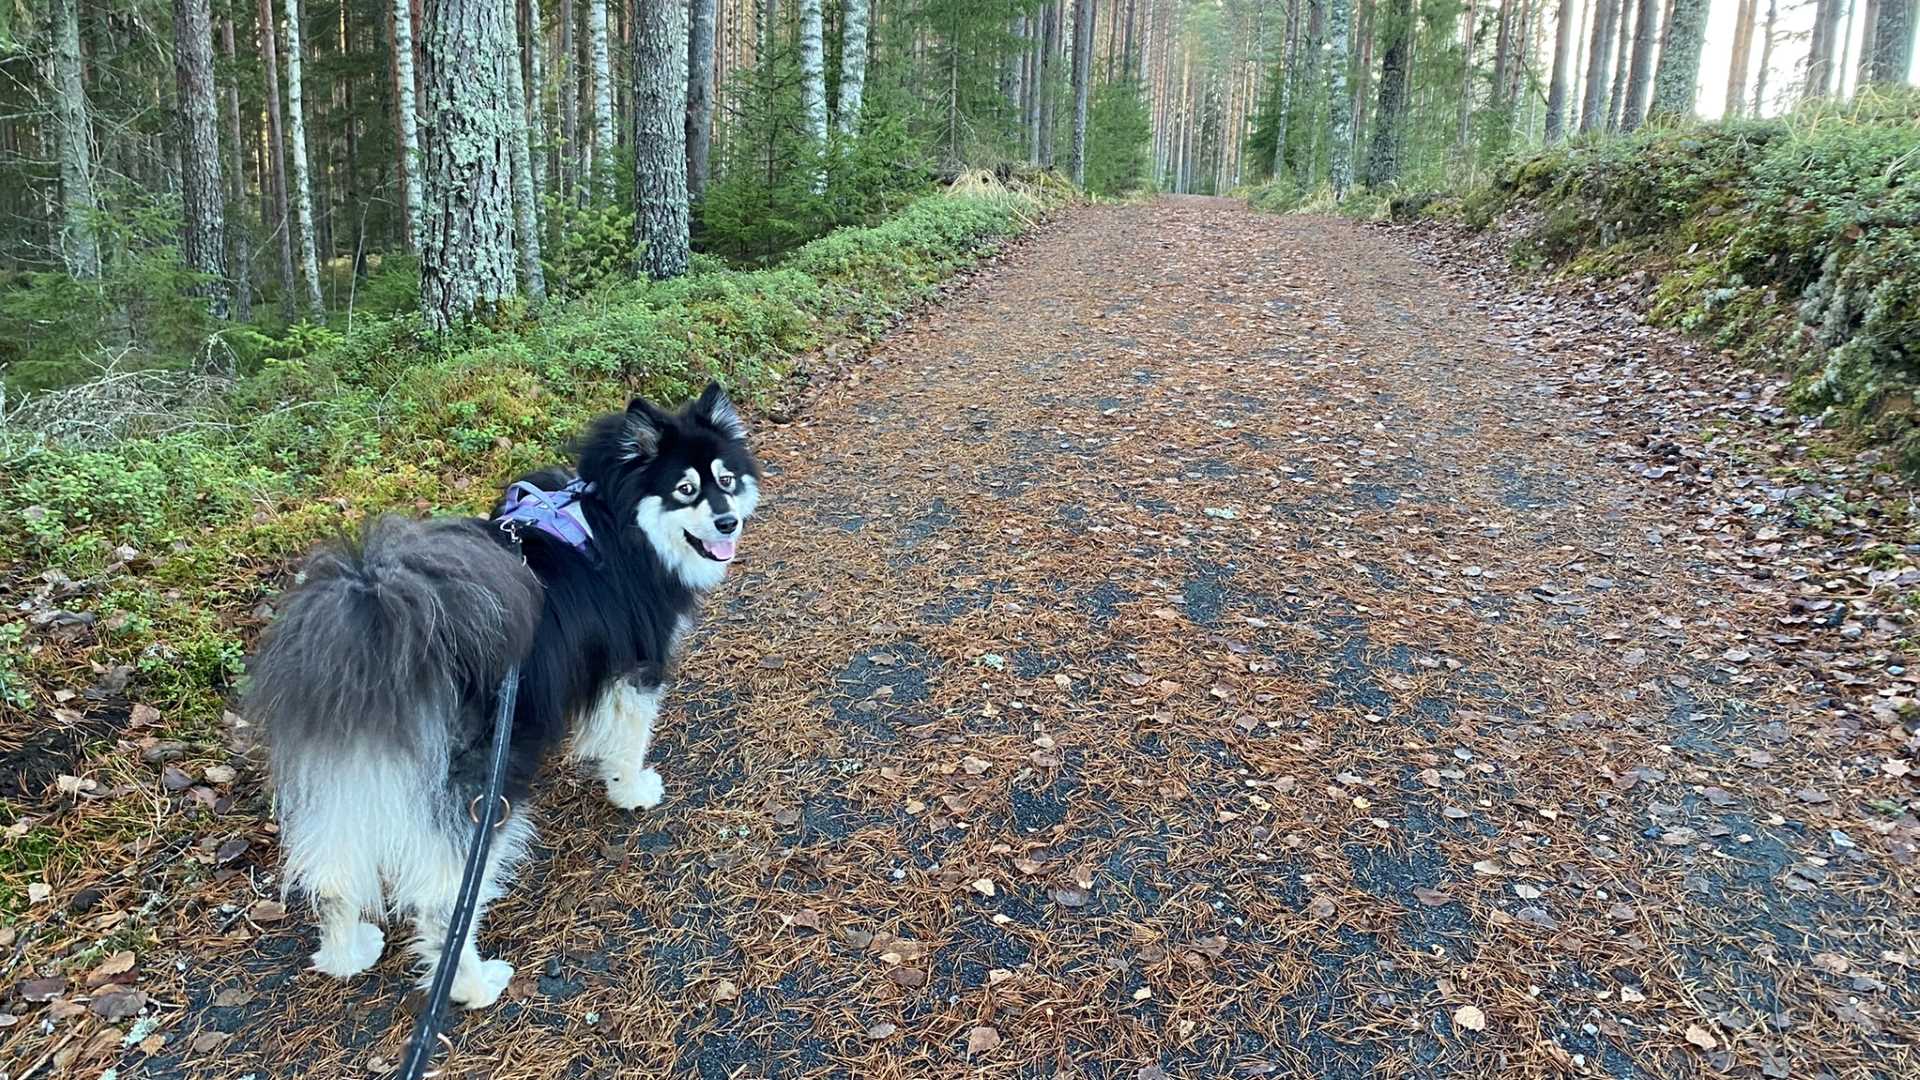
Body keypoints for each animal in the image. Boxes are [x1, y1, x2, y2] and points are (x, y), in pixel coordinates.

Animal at [249, 382, 764, 1006]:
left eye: (726, 479)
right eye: (685, 490)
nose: (728, 522)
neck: (615, 519)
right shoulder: (635, 667)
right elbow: (628, 738)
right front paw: (631, 789)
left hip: (346, 784)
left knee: (332, 878)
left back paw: (346, 954)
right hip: (481, 792)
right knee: (442, 905)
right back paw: (472, 985)